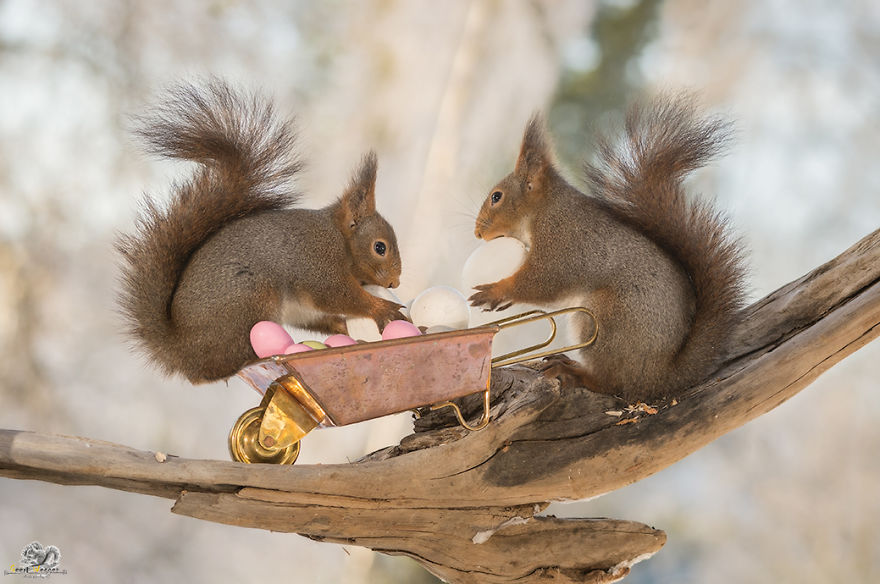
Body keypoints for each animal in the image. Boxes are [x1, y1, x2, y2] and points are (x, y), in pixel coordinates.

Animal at [117, 80, 405, 383]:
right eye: (380, 247)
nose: (394, 283)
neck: (338, 240)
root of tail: (182, 351)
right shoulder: (318, 265)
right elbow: (338, 295)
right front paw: (381, 307)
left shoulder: (308, 304)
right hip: (249, 299)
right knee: (220, 368)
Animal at [469, 94, 747, 402]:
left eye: (497, 197)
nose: (477, 232)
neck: (545, 210)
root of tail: (660, 378)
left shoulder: (563, 243)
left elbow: (542, 281)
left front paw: (495, 291)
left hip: (603, 320)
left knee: (612, 383)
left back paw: (577, 373)